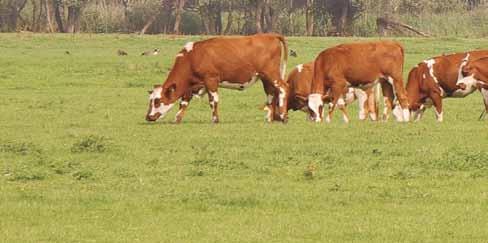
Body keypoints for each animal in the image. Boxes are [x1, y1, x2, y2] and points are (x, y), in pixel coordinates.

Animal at [146, 33, 290, 123]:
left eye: (157, 101)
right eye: (150, 100)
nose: (148, 117)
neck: (193, 57)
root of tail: (270, 35)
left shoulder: (211, 80)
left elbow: (213, 101)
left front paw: (215, 119)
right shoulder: (192, 85)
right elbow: (184, 102)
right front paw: (177, 119)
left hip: (272, 74)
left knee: (283, 88)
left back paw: (283, 116)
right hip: (265, 78)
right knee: (270, 94)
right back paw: (269, 118)